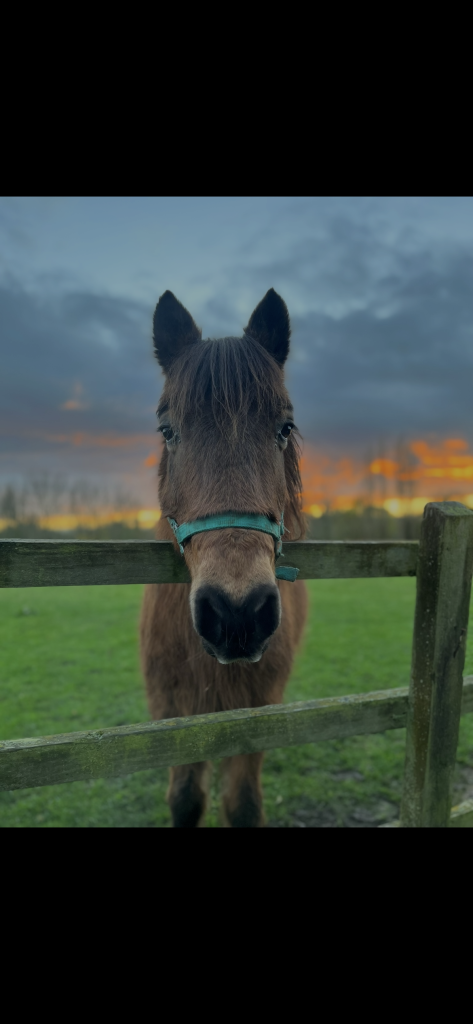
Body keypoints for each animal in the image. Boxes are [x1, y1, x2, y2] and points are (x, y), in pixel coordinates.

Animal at [140, 288, 308, 827]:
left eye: (285, 427)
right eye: (167, 430)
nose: (237, 612)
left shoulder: (259, 705)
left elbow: (243, 802)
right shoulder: (171, 706)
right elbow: (186, 796)